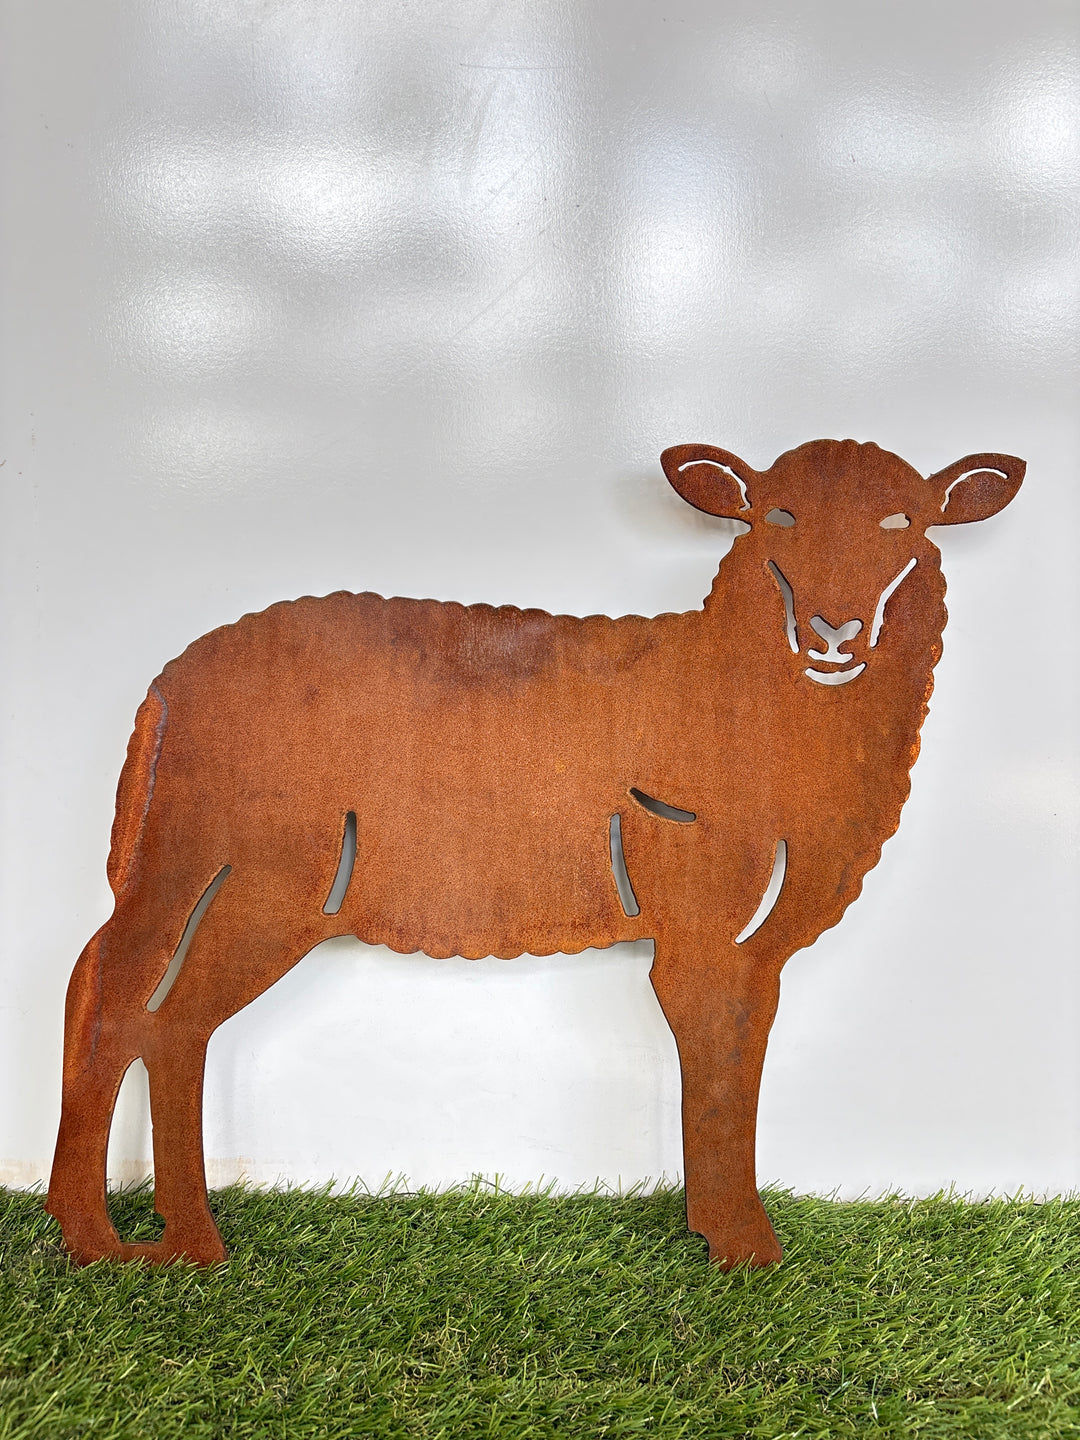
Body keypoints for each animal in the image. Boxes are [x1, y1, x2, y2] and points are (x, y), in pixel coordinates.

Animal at [46, 438, 1024, 1266]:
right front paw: (745, 1247)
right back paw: (114, 1241)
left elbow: (736, 1059)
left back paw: (165, 1236)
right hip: (249, 869)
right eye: (775, 517)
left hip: (216, 868)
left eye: (906, 523)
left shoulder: (756, 943)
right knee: (125, 998)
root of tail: (168, 684)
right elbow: (715, 1067)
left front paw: (720, 1231)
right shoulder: (702, 924)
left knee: (141, 1002)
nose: (833, 631)